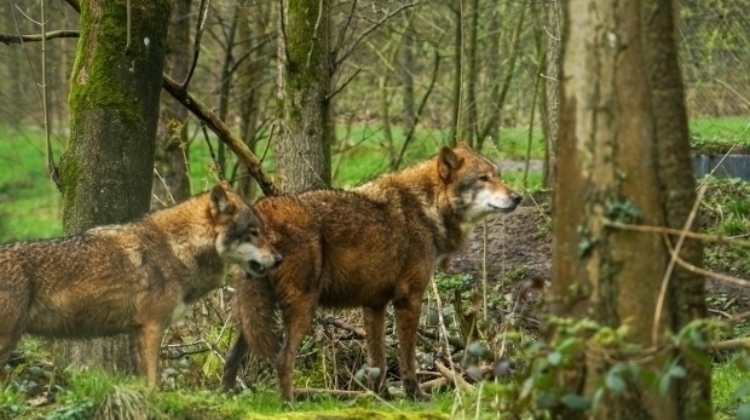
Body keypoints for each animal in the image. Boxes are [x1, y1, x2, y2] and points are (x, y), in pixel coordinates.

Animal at [0, 181, 282, 386]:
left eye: (261, 230)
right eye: (254, 232)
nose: (279, 259)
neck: (175, 249)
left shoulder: (137, 332)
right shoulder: (152, 328)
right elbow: (153, 383)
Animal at [221, 144, 522, 401]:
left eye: (498, 176)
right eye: (483, 179)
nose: (517, 197)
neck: (428, 207)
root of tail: (262, 209)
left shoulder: (374, 304)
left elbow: (378, 359)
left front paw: (382, 397)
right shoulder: (409, 299)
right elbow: (407, 357)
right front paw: (415, 395)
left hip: (251, 316)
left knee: (231, 360)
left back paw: (226, 398)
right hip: (302, 310)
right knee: (283, 359)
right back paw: (289, 405)